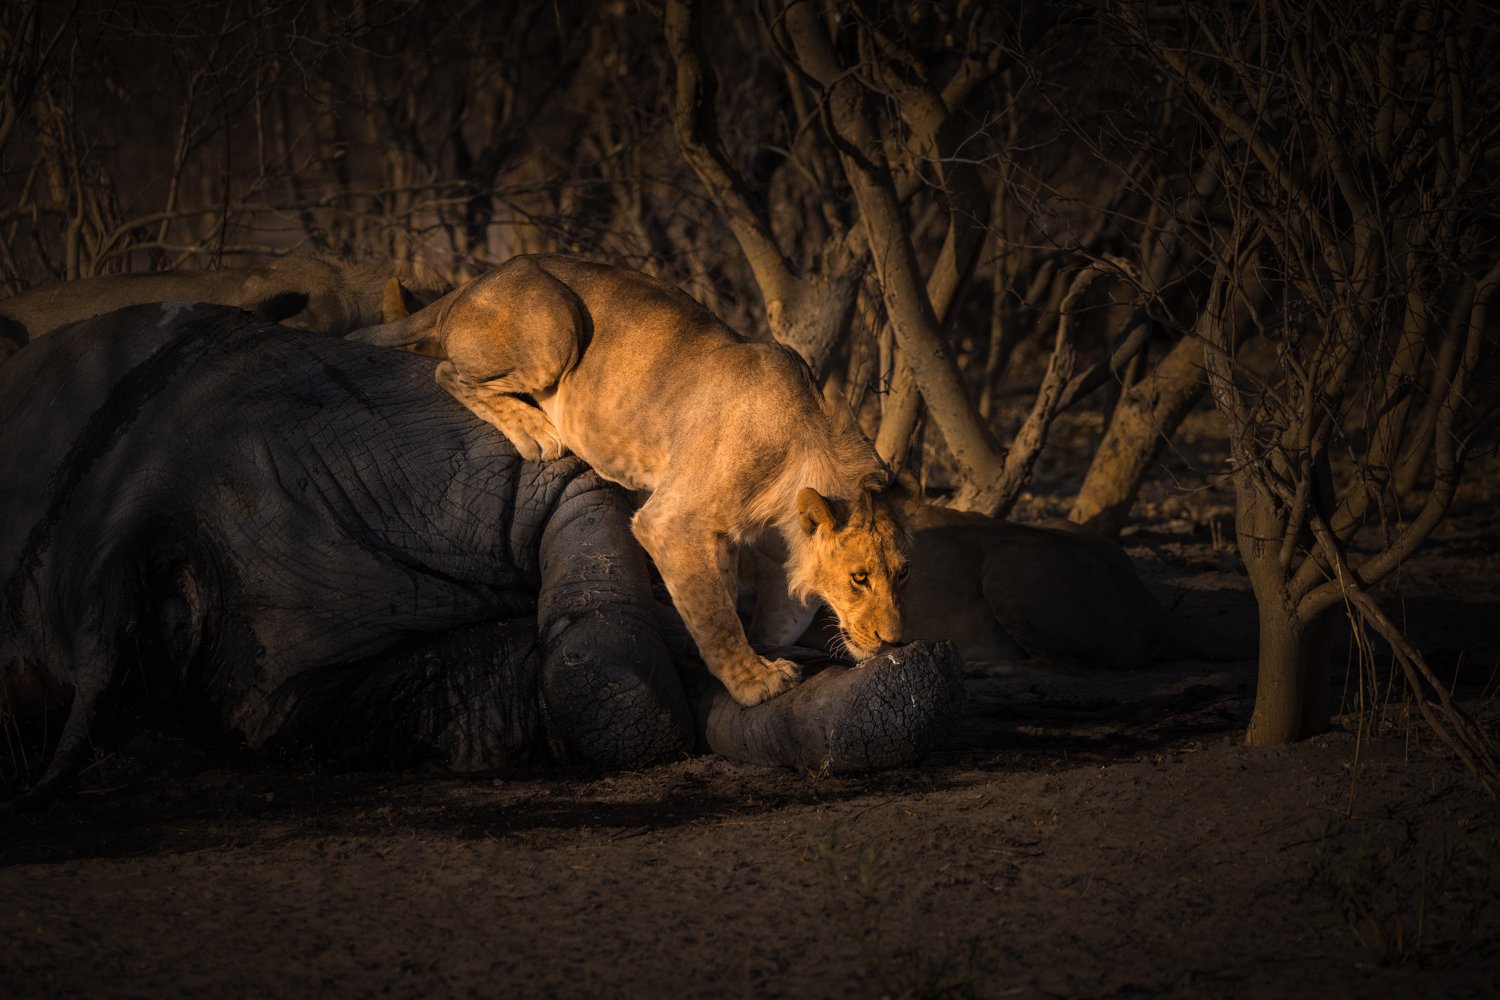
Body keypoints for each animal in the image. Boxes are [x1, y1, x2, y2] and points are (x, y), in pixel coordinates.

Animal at [0, 303, 964, 806]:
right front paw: (758, 674)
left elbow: (763, 608)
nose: (897, 645)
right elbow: (712, 610)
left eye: (903, 577)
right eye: (861, 576)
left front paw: (798, 656)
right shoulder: (675, 523)